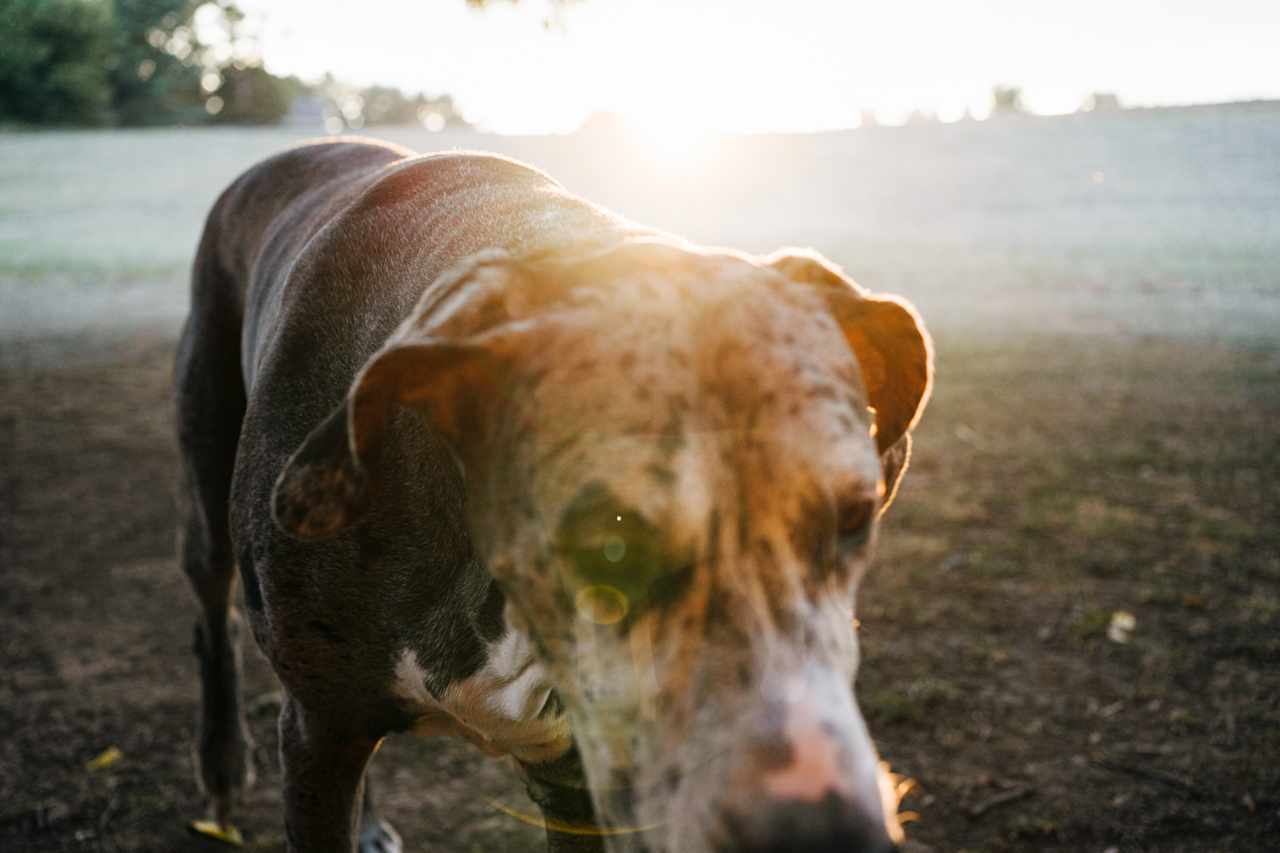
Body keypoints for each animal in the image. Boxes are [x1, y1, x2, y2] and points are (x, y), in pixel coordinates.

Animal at [177, 136, 931, 845]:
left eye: (856, 517)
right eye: (610, 543)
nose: (825, 829)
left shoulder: (573, 776)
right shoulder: (317, 732)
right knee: (213, 617)